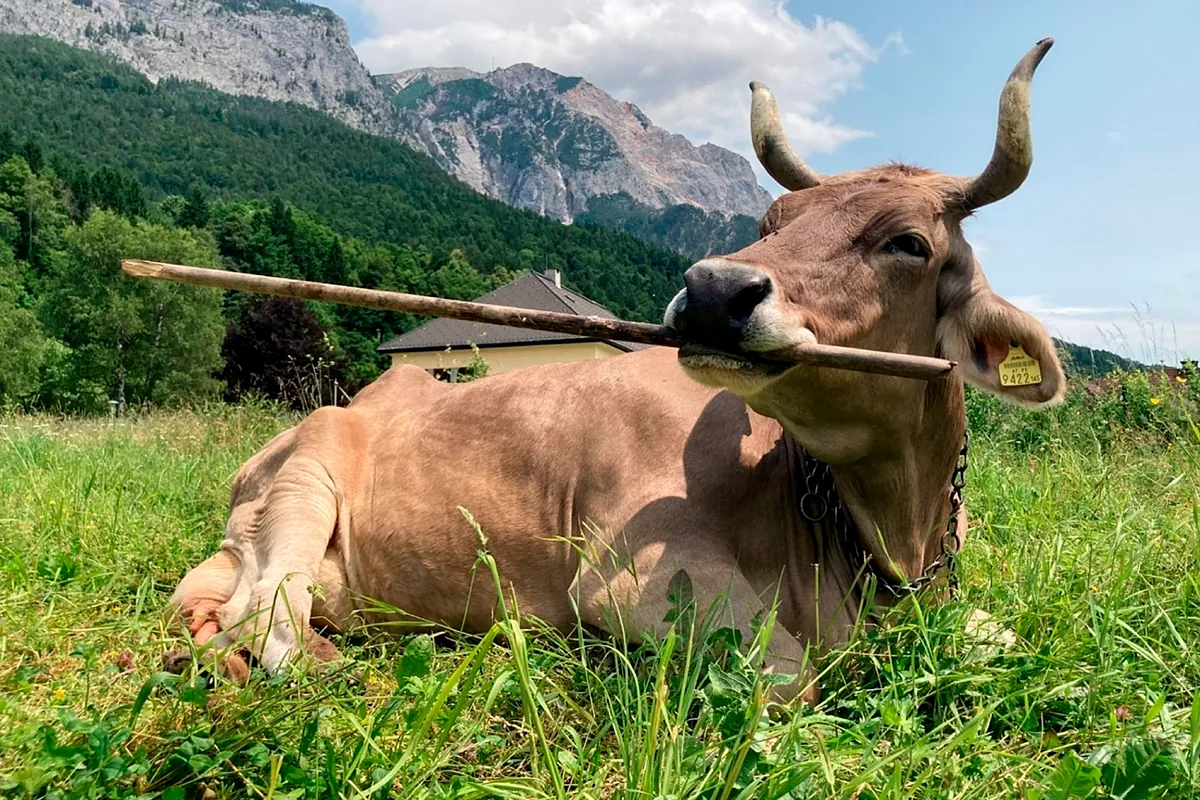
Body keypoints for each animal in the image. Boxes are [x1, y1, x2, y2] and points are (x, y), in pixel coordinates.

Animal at [166, 39, 1066, 703]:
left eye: (908, 242)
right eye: (770, 221)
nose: (713, 290)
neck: (888, 540)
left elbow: (1015, 638)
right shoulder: (633, 580)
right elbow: (792, 677)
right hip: (304, 483)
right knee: (265, 621)